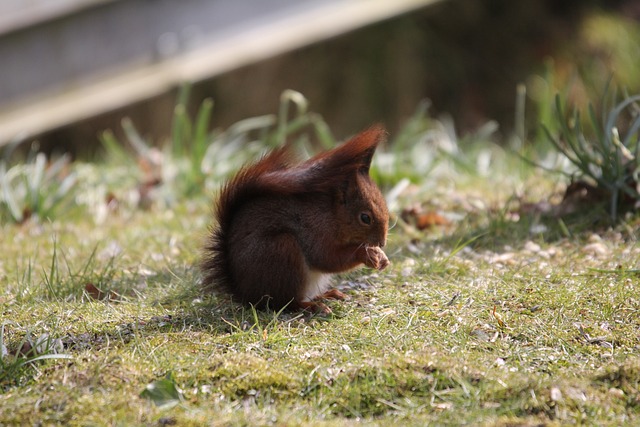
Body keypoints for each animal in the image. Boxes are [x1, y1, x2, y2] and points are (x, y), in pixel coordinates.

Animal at [201, 125, 390, 312]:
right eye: (365, 218)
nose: (382, 243)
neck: (332, 215)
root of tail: (245, 294)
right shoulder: (315, 230)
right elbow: (326, 258)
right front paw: (366, 254)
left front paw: (381, 257)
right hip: (283, 253)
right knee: (287, 302)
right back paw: (313, 306)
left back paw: (327, 295)